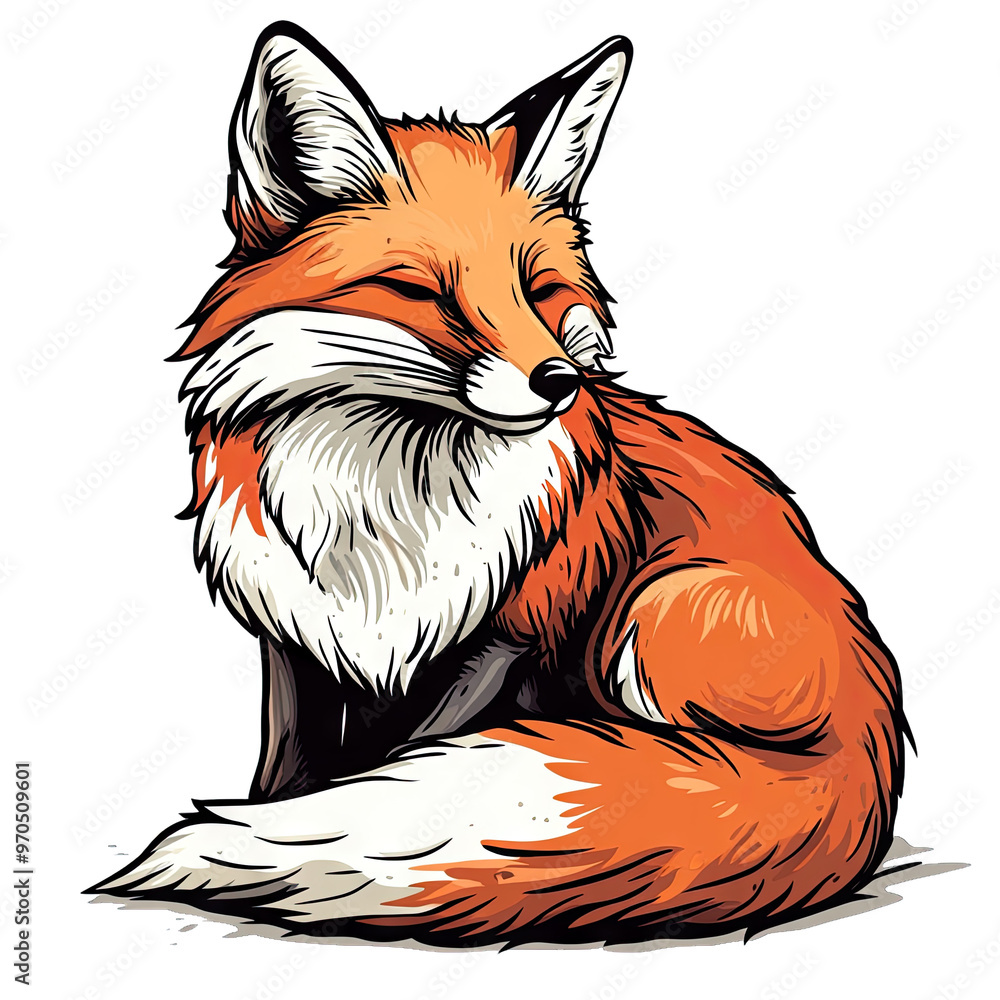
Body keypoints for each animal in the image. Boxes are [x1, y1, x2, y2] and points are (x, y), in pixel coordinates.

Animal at [91, 22, 909, 947]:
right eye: (422, 292)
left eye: (538, 291)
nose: (558, 381)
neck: (389, 508)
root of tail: (876, 728)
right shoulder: (295, 634)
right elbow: (290, 767)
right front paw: (269, 818)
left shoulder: (511, 633)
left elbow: (401, 760)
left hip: (662, 606)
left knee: (711, 762)